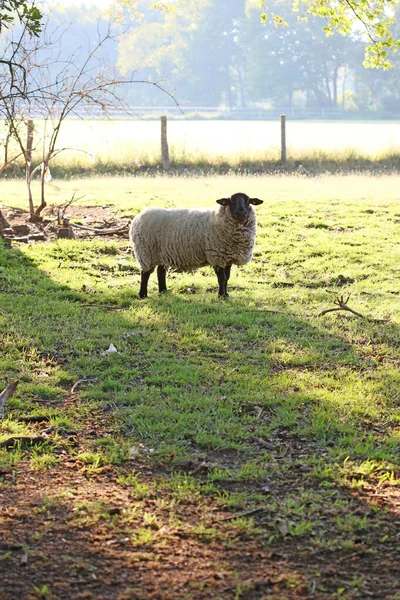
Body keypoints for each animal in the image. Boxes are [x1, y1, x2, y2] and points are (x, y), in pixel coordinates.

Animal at [130, 192, 264, 298]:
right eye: (231, 201)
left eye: (248, 201)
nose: (241, 212)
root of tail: (137, 218)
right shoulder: (216, 255)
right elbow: (222, 278)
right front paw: (222, 296)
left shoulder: (227, 257)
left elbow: (227, 278)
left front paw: (226, 294)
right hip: (146, 252)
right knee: (145, 273)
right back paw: (143, 294)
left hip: (163, 253)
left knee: (160, 271)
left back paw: (163, 291)